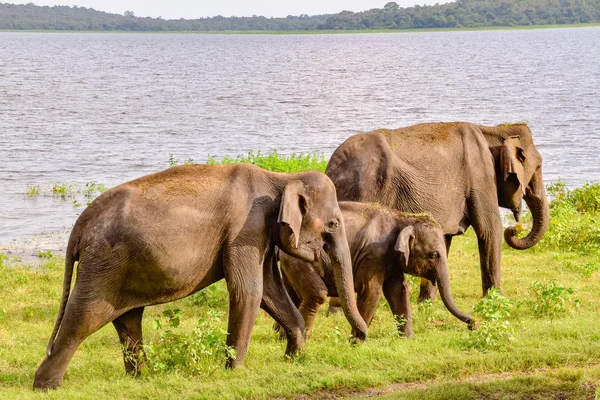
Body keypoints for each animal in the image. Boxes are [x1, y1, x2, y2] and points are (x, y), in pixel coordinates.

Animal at [36, 163, 370, 390]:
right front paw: (234, 371)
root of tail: (79, 225)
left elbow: (268, 291)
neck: (280, 179)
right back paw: (46, 386)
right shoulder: (245, 231)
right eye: (333, 224)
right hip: (104, 264)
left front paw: (293, 357)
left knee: (128, 318)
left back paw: (140, 377)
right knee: (84, 316)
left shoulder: (260, 233)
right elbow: (248, 291)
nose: (358, 339)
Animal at [278, 200, 476, 338]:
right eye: (433, 255)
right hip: (302, 260)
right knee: (315, 295)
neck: (403, 217)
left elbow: (399, 290)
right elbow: (371, 291)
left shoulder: (391, 259)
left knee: (293, 295)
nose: (473, 325)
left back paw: (281, 337)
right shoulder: (373, 254)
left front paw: (409, 338)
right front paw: (357, 341)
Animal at [326, 122, 552, 300]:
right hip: (366, 189)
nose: (514, 229)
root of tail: (332, 168)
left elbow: (444, 238)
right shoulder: (480, 175)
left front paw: (427, 302)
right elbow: (489, 229)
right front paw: (498, 298)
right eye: (538, 166)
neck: (493, 130)